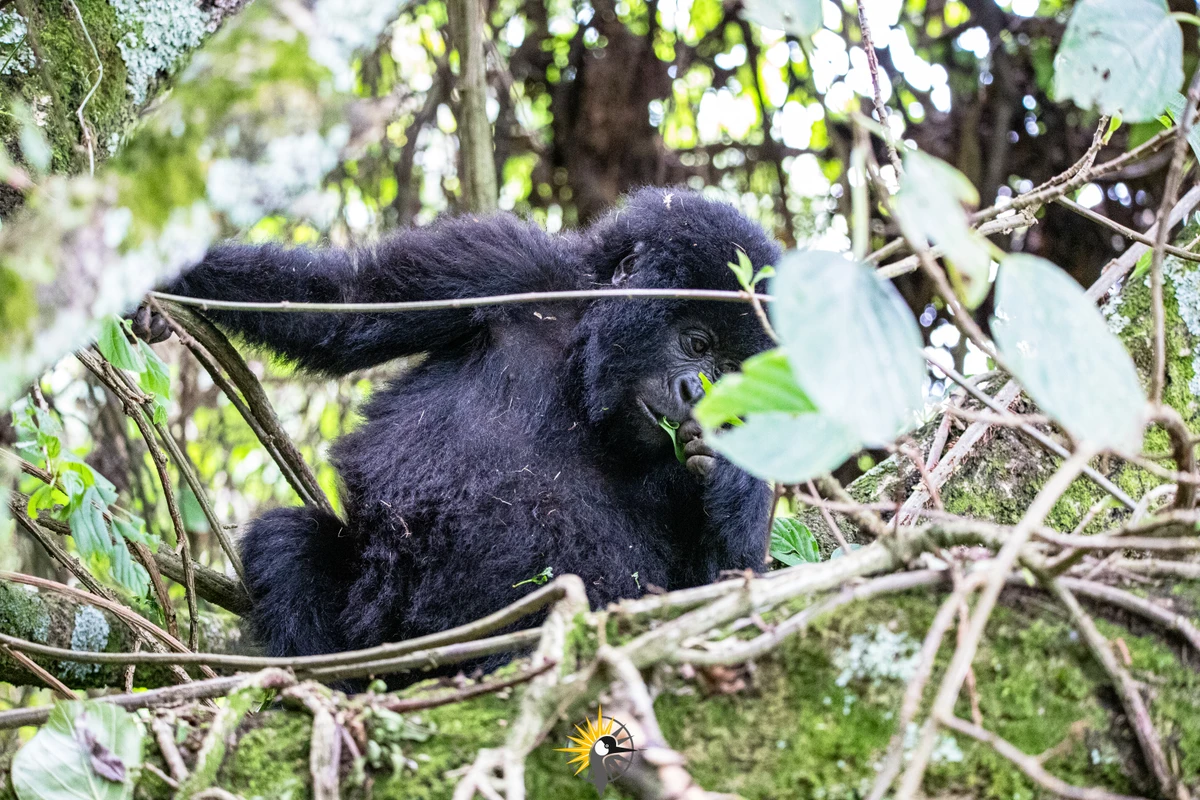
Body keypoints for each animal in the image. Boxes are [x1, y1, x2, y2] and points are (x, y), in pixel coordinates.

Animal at [142, 190, 777, 671]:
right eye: (696, 342)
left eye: (734, 372)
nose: (700, 394)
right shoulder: (506, 264)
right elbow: (342, 304)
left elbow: (712, 593)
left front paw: (738, 476)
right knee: (288, 539)